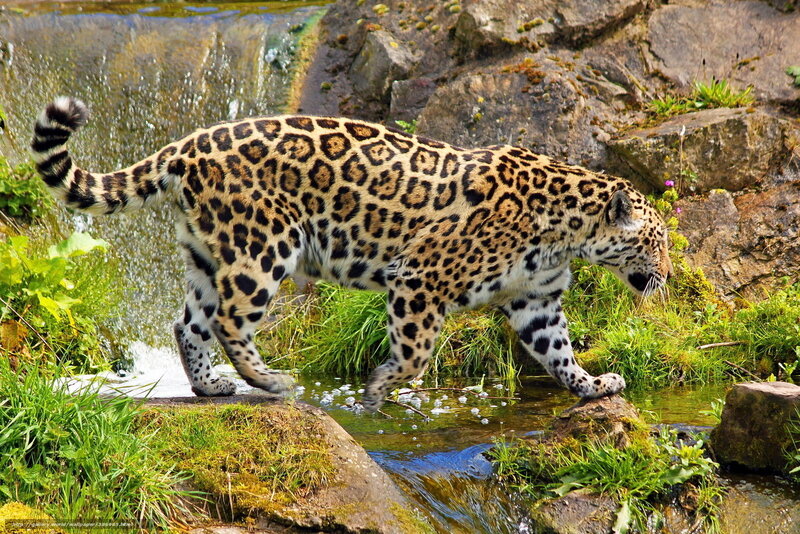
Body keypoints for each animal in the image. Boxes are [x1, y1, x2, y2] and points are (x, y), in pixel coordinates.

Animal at [32, 97, 672, 411]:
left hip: (208, 255)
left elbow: (559, 352)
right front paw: (379, 389)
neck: (567, 229)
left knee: (189, 322)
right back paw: (272, 382)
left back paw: (212, 387)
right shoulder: (420, 278)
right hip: (264, 245)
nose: (667, 276)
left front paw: (593, 386)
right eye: (659, 242)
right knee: (231, 319)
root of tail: (186, 145)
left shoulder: (535, 302)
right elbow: (416, 353)